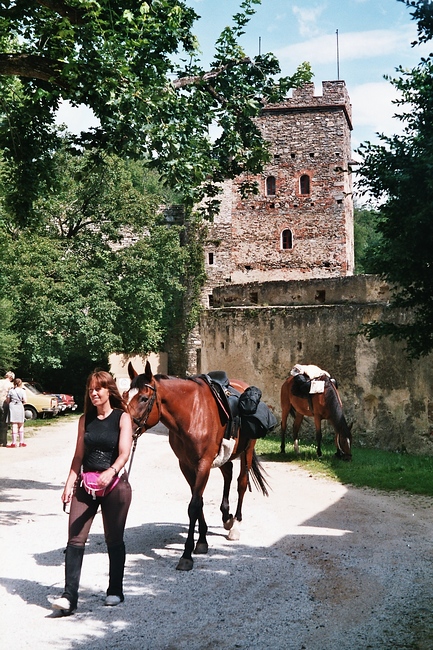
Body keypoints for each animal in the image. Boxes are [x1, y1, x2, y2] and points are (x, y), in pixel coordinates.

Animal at [125, 362, 268, 568]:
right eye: (125, 395)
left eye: (144, 398)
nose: (124, 429)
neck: (191, 414)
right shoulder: (185, 464)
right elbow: (198, 500)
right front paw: (201, 541)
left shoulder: (203, 464)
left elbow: (193, 505)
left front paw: (186, 554)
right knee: (228, 473)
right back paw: (226, 517)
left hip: (247, 451)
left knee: (241, 483)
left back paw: (236, 525)